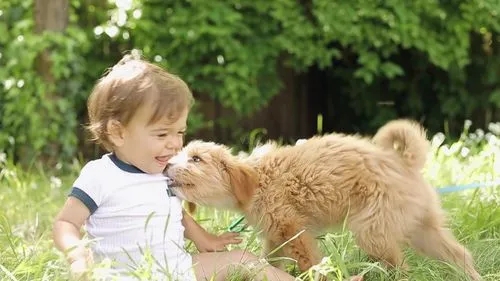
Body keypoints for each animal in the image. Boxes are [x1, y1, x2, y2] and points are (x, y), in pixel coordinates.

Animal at [167, 119, 480, 278]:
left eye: (196, 159)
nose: (167, 165)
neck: (256, 179)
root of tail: (402, 163)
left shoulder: (294, 231)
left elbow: (309, 263)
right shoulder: (276, 236)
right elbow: (270, 262)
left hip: (373, 232)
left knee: (401, 267)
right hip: (421, 228)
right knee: (459, 254)